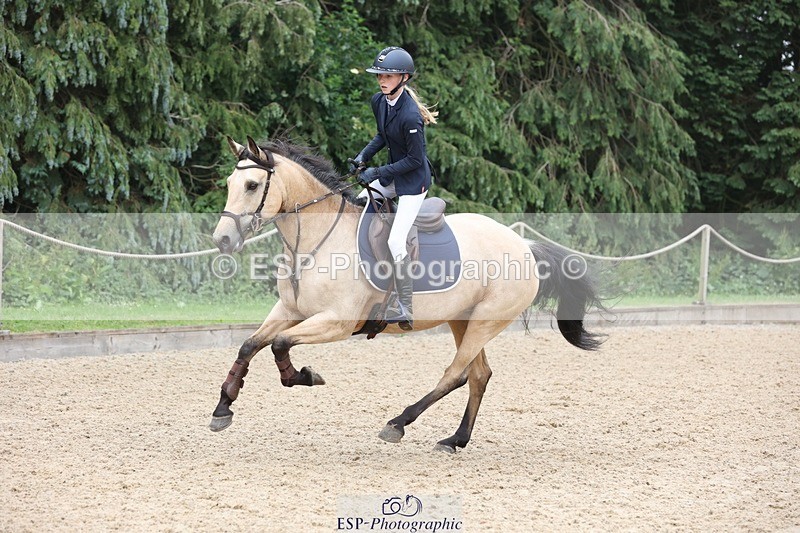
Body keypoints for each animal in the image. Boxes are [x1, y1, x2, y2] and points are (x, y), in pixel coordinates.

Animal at [210, 136, 605, 453]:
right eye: (230, 182)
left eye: (251, 184)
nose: (222, 240)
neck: (315, 242)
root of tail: (524, 245)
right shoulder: (289, 310)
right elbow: (250, 345)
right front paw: (223, 408)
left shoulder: (335, 323)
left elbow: (279, 344)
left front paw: (305, 376)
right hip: (462, 320)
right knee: (478, 375)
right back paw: (455, 440)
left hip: (485, 322)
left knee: (456, 374)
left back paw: (398, 423)